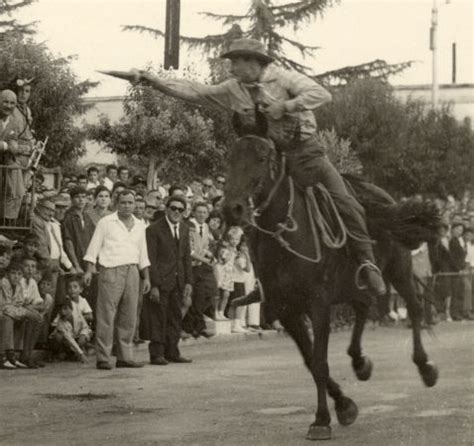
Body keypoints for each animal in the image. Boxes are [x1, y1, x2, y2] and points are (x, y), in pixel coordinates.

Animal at [224, 113, 438, 440]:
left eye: (261, 157)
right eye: (231, 157)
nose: (231, 209)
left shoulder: (318, 304)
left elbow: (320, 362)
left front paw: (322, 419)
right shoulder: (287, 310)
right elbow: (310, 361)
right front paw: (344, 405)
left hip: (398, 269)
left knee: (413, 308)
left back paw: (425, 368)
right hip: (355, 284)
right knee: (364, 307)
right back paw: (360, 363)